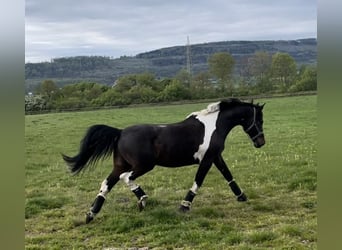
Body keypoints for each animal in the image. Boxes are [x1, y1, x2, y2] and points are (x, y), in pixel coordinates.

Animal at [63, 97, 268, 223]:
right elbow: (198, 181)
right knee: (126, 178)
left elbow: (228, 174)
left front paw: (242, 197)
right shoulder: (207, 159)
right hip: (143, 165)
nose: (261, 142)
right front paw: (184, 206)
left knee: (106, 183)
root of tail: (120, 133)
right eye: (260, 120)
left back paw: (91, 214)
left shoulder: (216, 157)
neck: (214, 125)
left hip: (120, 165)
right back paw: (142, 200)